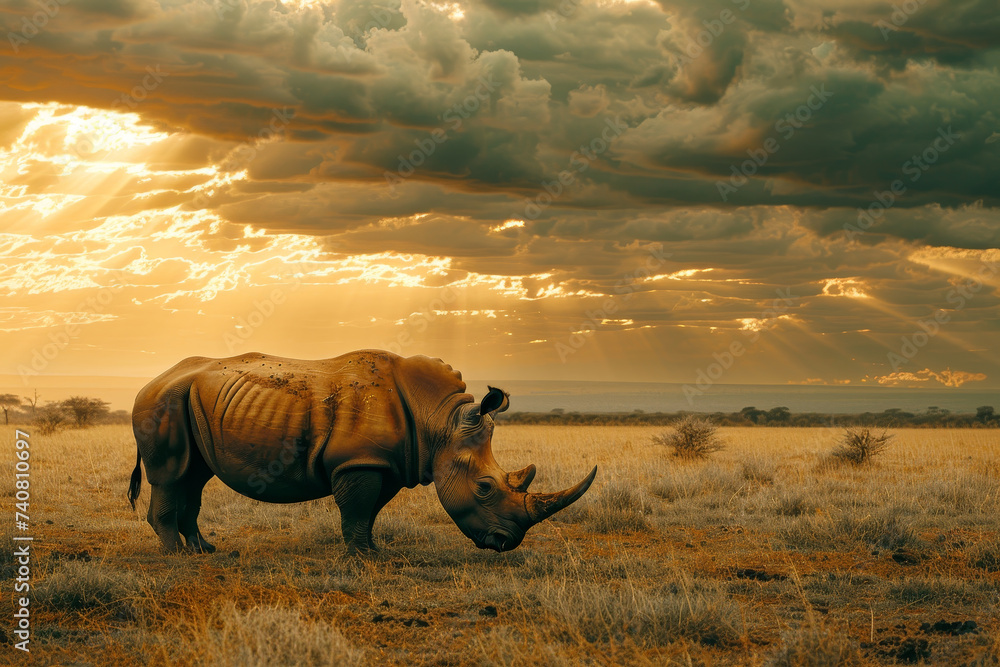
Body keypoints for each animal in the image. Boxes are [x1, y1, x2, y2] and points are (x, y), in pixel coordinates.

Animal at [127, 350, 597, 555]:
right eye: (484, 487)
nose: (506, 543)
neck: (439, 421)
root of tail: (151, 380)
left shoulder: (387, 463)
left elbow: (369, 511)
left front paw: (372, 551)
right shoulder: (358, 461)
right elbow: (355, 508)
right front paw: (360, 558)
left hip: (188, 401)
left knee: (194, 476)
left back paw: (205, 550)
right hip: (162, 401)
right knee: (171, 475)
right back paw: (176, 556)